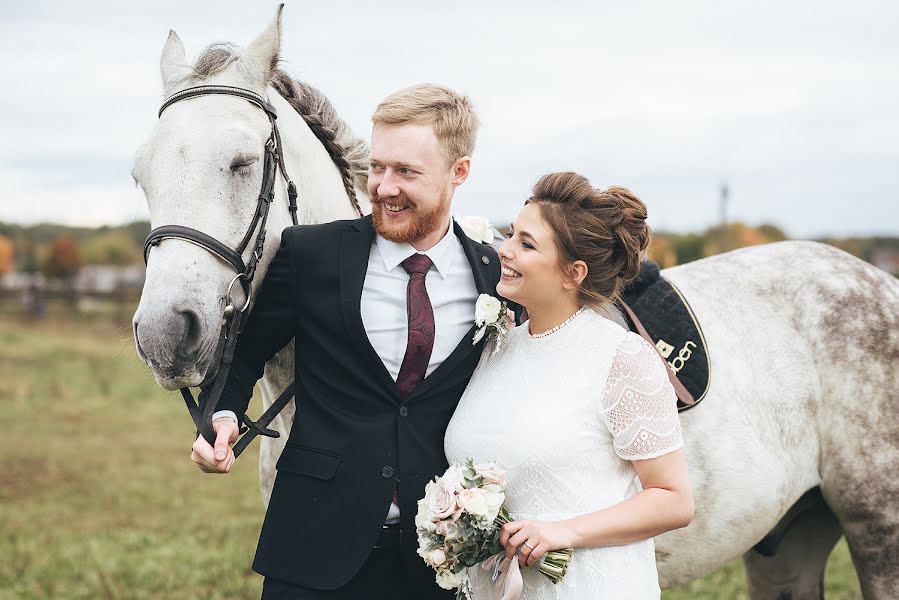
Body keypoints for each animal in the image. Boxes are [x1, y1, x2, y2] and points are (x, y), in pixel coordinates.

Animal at [134, 9, 899, 600]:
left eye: (241, 163)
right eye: (140, 172)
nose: (166, 334)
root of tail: (874, 282)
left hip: (876, 533)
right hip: (787, 540)